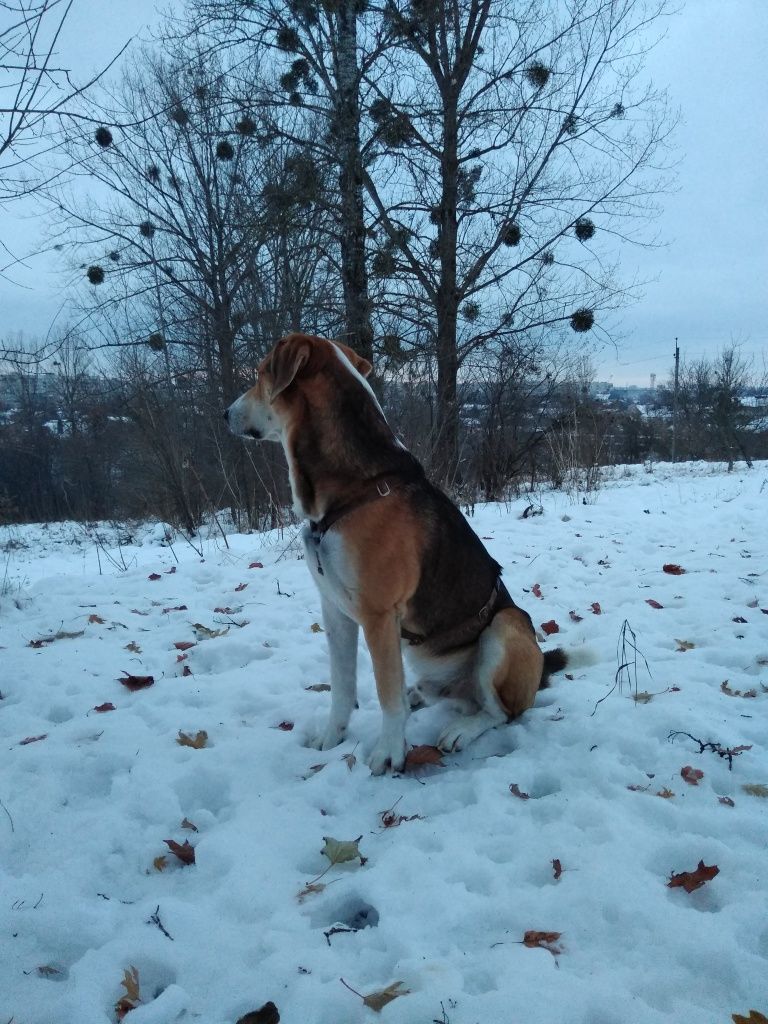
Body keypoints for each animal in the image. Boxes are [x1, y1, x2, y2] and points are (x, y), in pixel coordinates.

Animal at [225, 331, 569, 770]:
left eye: (260, 374)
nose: (225, 414)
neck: (352, 489)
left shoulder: (378, 615)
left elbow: (386, 694)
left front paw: (389, 753)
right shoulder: (334, 610)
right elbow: (341, 687)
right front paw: (331, 737)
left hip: (505, 628)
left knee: (500, 712)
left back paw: (462, 729)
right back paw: (420, 695)